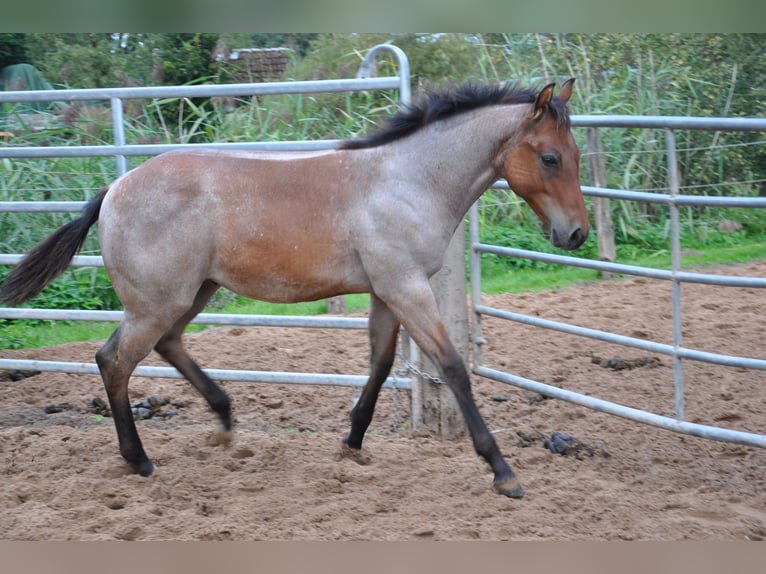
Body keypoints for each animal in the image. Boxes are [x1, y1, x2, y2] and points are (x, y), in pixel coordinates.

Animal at [1, 79, 588, 498]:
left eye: (577, 155)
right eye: (550, 157)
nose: (576, 234)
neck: (407, 181)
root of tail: (114, 189)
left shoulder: (386, 291)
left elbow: (380, 363)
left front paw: (352, 444)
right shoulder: (407, 287)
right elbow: (452, 367)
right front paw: (502, 471)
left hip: (192, 294)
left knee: (164, 346)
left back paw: (224, 420)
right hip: (158, 302)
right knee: (114, 361)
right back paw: (140, 459)